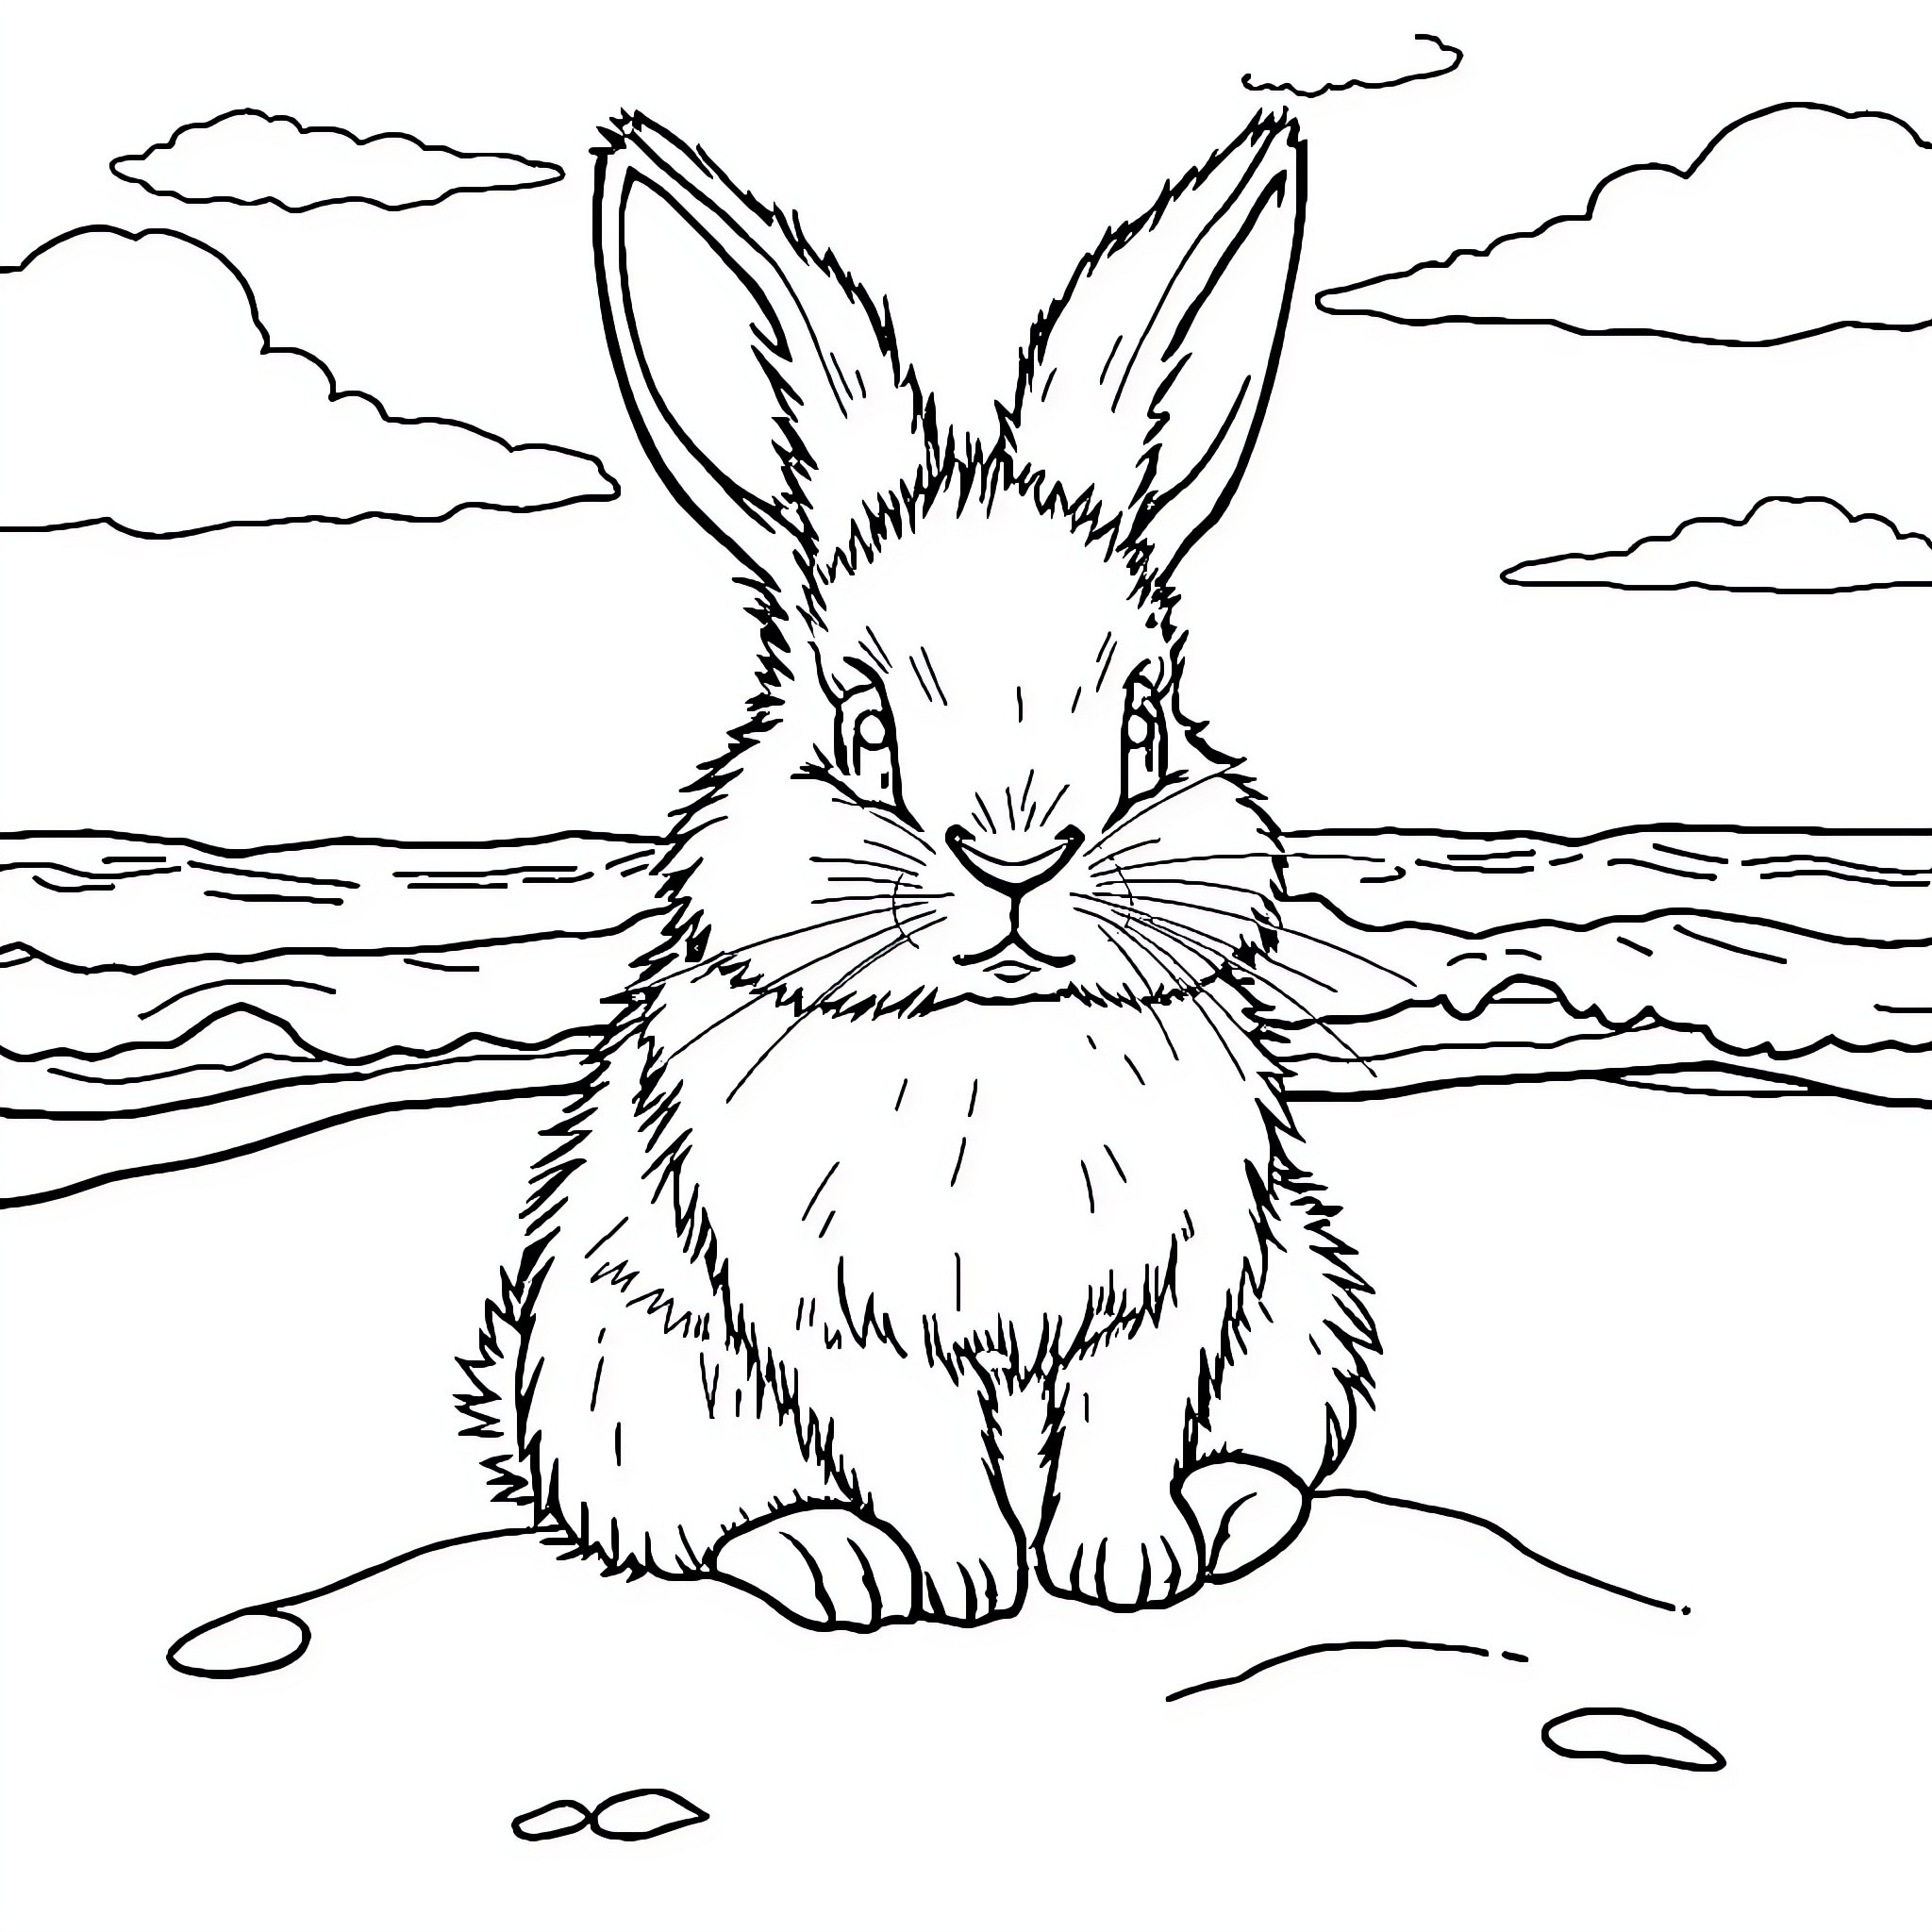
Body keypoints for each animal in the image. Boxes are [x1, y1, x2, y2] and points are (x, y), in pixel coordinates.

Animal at [459, 105, 1378, 1629]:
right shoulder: (836, 1315)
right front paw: (963, 1579)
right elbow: (912, 1442)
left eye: (1145, 719)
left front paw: (1124, 1566)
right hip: (629, 1377)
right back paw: (828, 1562)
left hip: (1297, 1312)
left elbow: (1123, 1427)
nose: (1015, 858)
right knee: (689, 1515)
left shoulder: (1172, 1294)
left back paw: (1233, 1510)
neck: (994, 1044)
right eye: (863, 729)